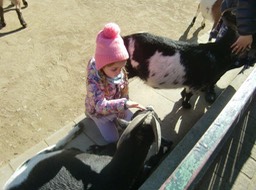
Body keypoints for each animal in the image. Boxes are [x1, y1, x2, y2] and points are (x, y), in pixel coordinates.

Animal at [123, 9, 255, 108]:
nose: (251, 61)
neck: (219, 51)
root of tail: (125, 38)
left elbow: (185, 92)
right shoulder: (196, 84)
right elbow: (188, 95)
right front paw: (186, 106)